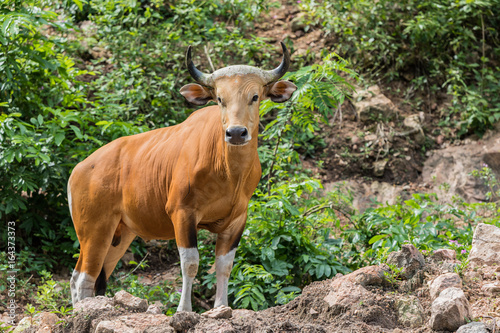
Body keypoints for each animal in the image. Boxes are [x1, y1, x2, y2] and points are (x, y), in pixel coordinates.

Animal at [70, 42, 296, 310]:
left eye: (255, 96)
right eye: (220, 98)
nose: (236, 133)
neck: (228, 174)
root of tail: (80, 169)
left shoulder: (237, 220)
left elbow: (224, 266)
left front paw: (221, 307)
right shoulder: (182, 213)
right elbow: (190, 263)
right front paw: (184, 309)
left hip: (120, 233)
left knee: (84, 276)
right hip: (94, 229)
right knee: (83, 278)